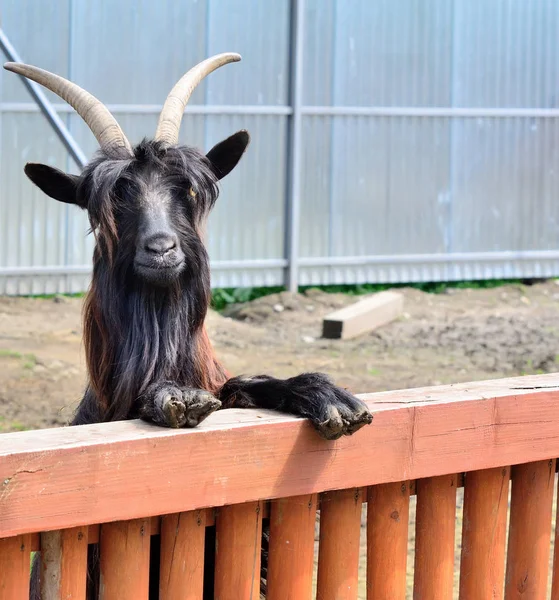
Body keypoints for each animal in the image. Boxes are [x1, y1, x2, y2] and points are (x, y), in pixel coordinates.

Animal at [4, 54, 374, 596]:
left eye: (188, 189)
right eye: (111, 201)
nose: (161, 248)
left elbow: (245, 385)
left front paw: (328, 395)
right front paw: (173, 397)